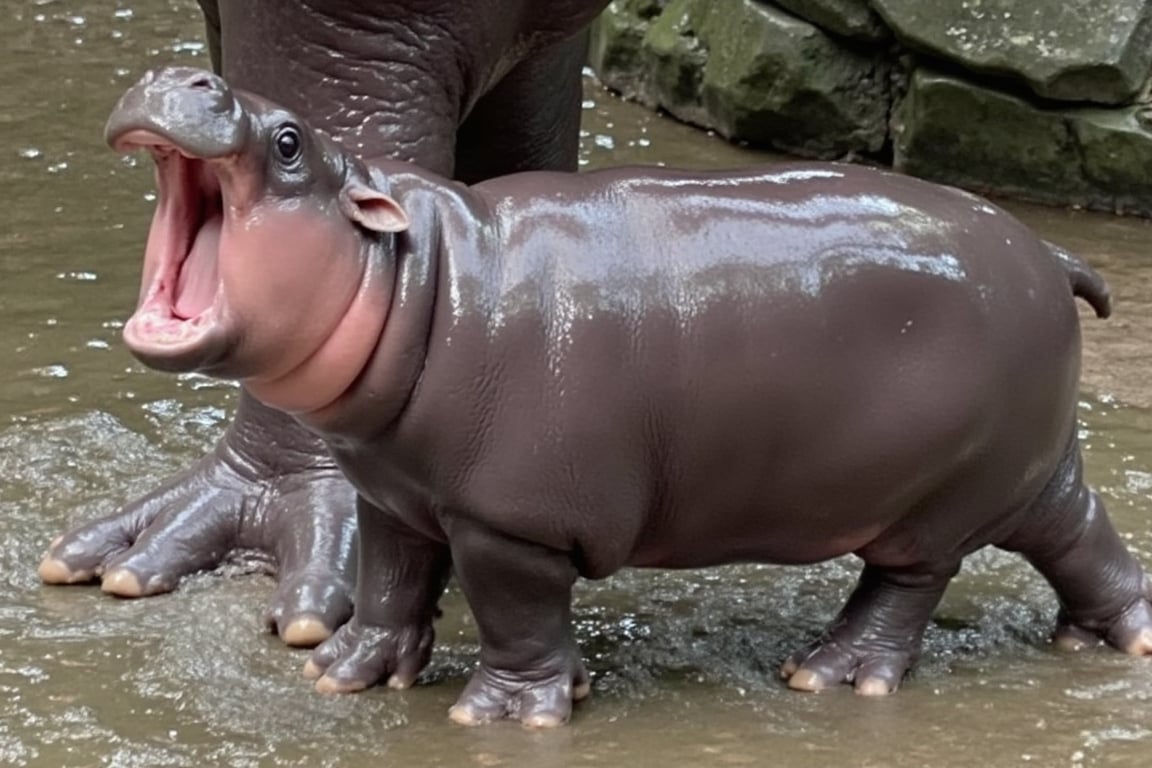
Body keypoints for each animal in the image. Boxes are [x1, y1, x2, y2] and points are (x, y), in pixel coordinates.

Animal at [103, 66, 1147, 727]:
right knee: (1077, 528)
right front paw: (342, 672)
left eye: (289, 142)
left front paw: (508, 714)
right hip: (1024, 462)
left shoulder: (510, 523)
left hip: (939, 496)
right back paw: (1116, 638)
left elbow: (516, 611)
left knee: (908, 585)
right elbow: (393, 582)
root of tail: (1049, 255)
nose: (182, 74)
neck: (416, 275)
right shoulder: (392, 495)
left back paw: (829, 677)